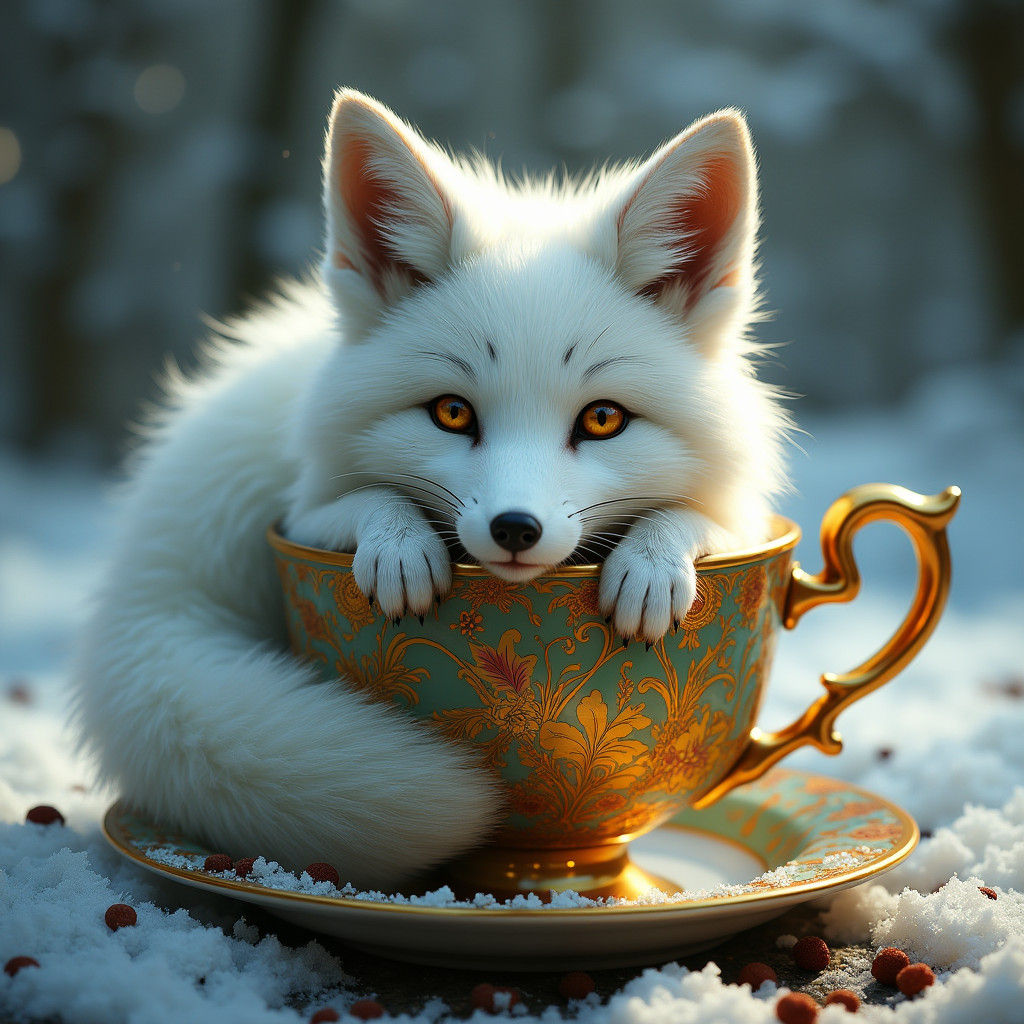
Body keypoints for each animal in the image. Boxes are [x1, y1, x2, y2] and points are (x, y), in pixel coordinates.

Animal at [71, 89, 790, 890]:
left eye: (603, 419)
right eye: (451, 413)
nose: (515, 529)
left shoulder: (749, 519)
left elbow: (695, 517)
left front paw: (654, 562)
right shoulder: (302, 513)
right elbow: (360, 505)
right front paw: (399, 546)